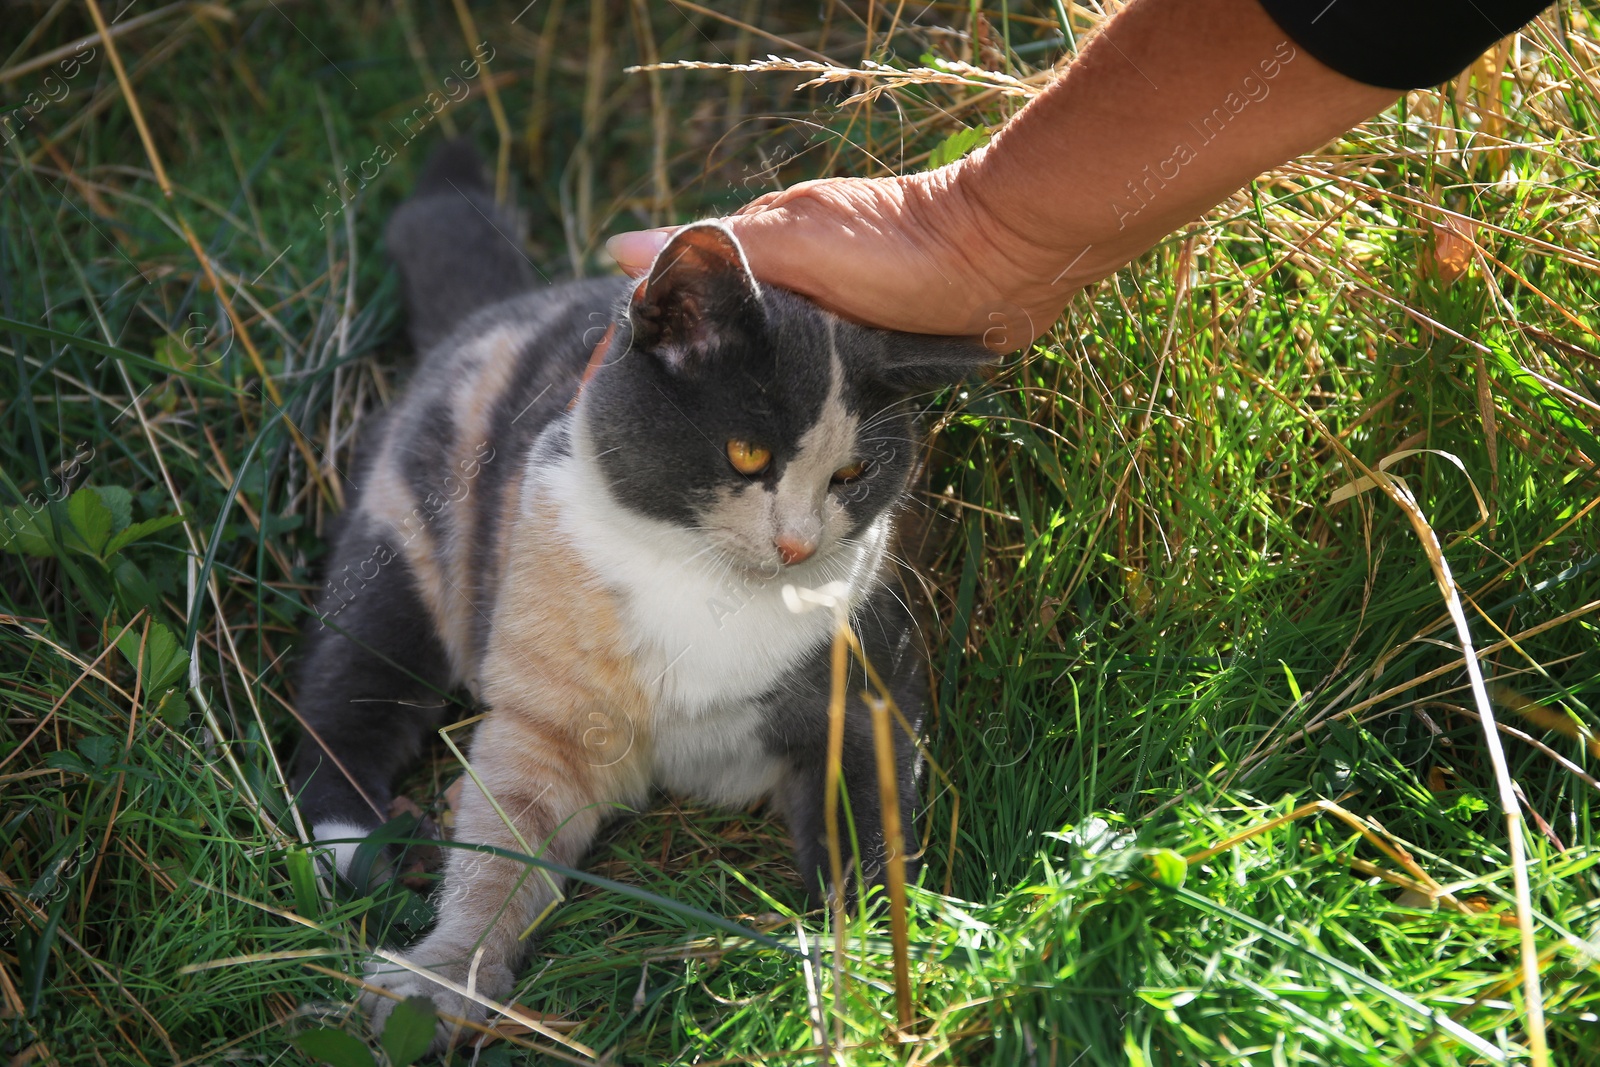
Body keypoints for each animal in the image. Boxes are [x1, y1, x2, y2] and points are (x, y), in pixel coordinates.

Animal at [289, 137, 985, 1049]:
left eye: (854, 473)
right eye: (746, 453)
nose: (797, 541)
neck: (708, 585)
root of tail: (510, 305)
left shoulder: (869, 687)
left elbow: (872, 838)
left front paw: (865, 972)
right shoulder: (548, 720)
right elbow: (500, 854)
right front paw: (438, 978)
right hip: (401, 543)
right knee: (343, 699)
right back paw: (357, 835)